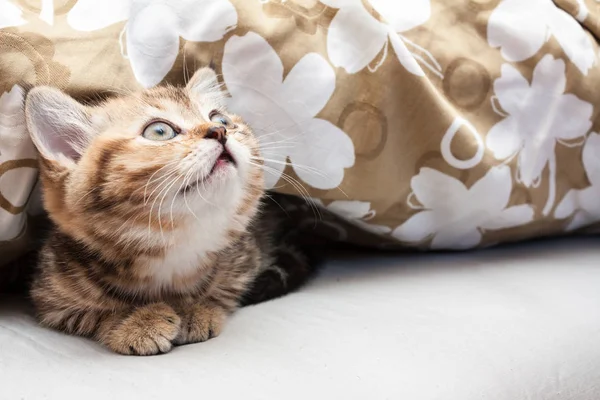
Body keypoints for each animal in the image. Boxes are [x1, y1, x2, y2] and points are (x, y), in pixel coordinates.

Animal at [25, 69, 316, 356]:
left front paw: (194, 308)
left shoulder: (245, 262)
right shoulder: (50, 298)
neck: (169, 247)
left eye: (219, 118)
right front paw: (136, 321)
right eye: (159, 131)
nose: (219, 130)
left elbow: (223, 293)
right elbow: (91, 314)